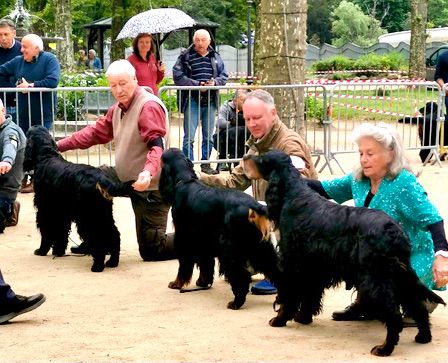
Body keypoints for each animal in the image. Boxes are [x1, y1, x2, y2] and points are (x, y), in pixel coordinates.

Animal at [24, 126, 131, 272]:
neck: (47, 155)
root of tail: (101, 178)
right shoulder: (62, 212)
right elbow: (61, 233)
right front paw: (58, 251)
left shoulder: (45, 209)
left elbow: (47, 231)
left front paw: (41, 250)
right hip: (104, 214)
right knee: (114, 235)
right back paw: (112, 262)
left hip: (88, 217)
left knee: (99, 239)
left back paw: (97, 266)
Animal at [158, 148, 280, 310]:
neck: (185, 181)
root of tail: (255, 206)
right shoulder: (203, 240)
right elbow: (205, 263)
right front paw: (203, 282)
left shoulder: (184, 236)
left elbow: (184, 264)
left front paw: (177, 283)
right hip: (259, 246)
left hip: (231, 248)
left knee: (241, 276)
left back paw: (236, 302)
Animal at [243, 151, 446, 358]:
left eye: (261, 158)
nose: (244, 157)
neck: (293, 193)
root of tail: (394, 231)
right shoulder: (313, 266)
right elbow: (310, 294)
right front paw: (303, 317)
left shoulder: (293, 262)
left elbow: (291, 294)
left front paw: (281, 318)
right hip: (398, 275)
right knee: (417, 306)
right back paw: (423, 336)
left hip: (376, 278)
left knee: (394, 315)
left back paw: (384, 348)